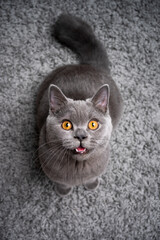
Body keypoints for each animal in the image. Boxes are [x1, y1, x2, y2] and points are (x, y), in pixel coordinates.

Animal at [36, 13, 123, 197]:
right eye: (66, 125)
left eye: (93, 124)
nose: (81, 135)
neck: (78, 168)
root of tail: (88, 65)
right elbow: (61, 182)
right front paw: (63, 191)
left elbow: (92, 177)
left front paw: (92, 185)